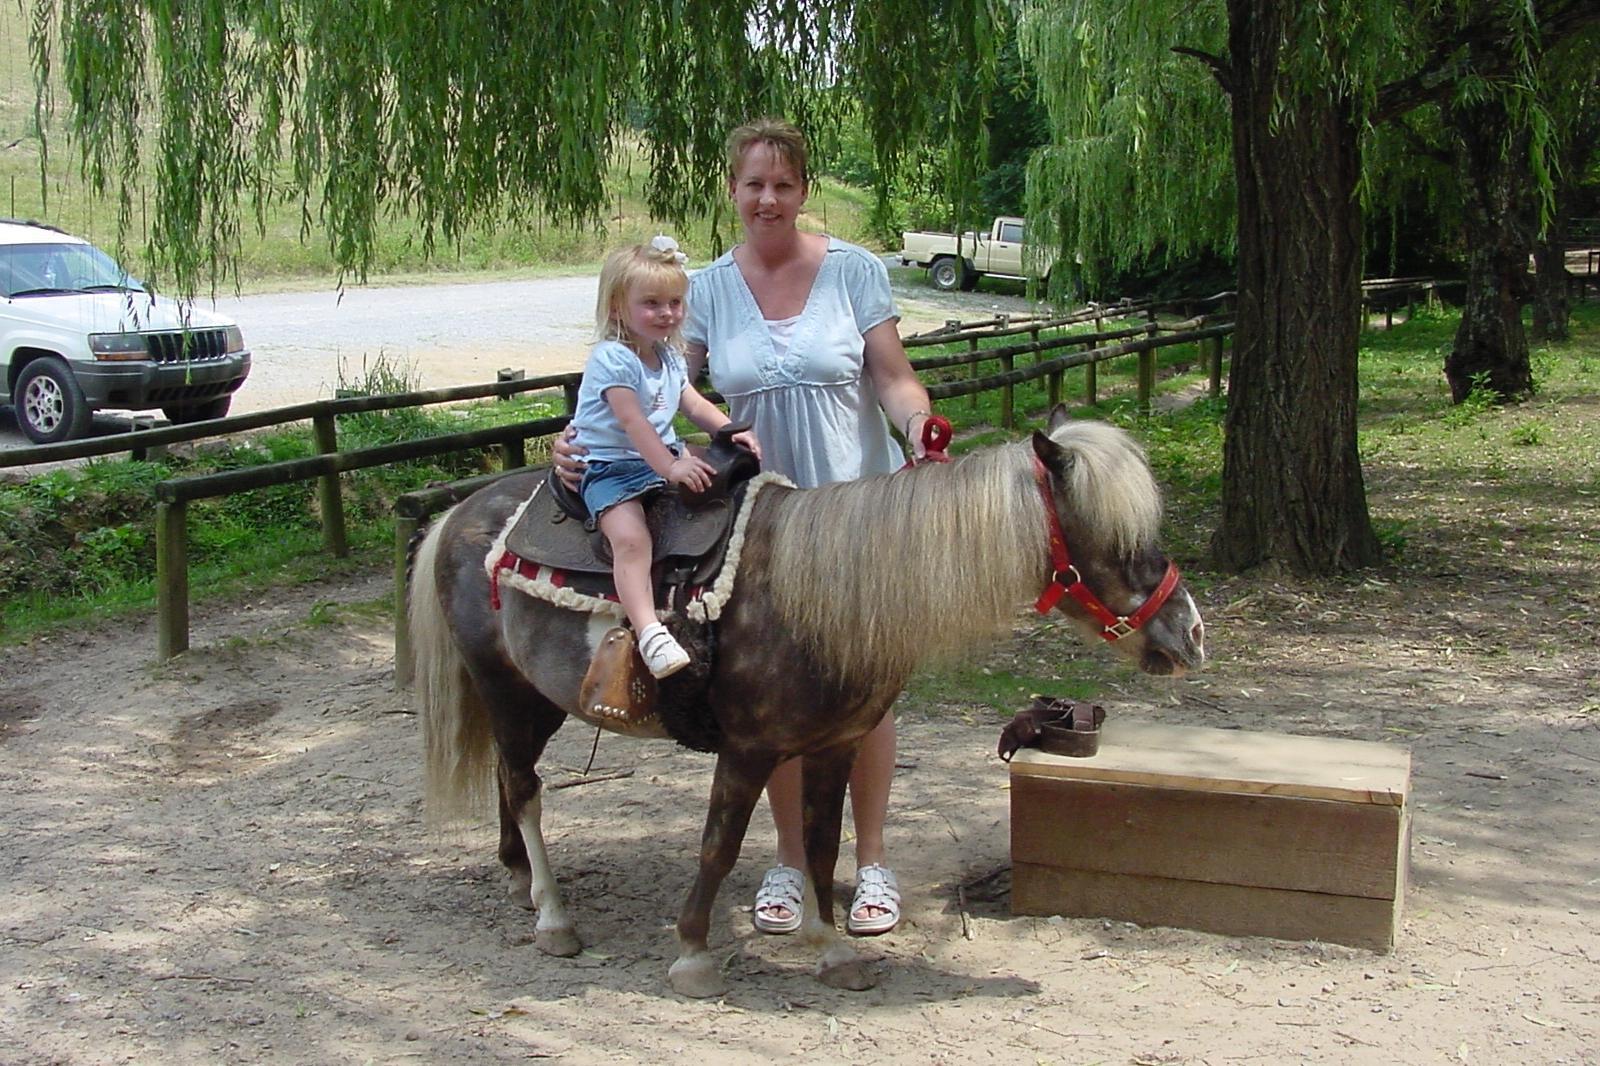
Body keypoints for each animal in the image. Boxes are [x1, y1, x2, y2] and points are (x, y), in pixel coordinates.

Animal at [409, 408, 1203, 998]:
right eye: (1119, 539)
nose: (1191, 633)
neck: (812, 594)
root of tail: (459, 513)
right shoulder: (747, 750)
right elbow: (720, 844)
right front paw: (694, 954)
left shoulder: (833, 745)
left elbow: (822, 844)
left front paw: (834, 951)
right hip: (505, 692)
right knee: (524, 788)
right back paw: (552, 917)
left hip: (533, 702)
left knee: (511, 785)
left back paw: (520, 879)